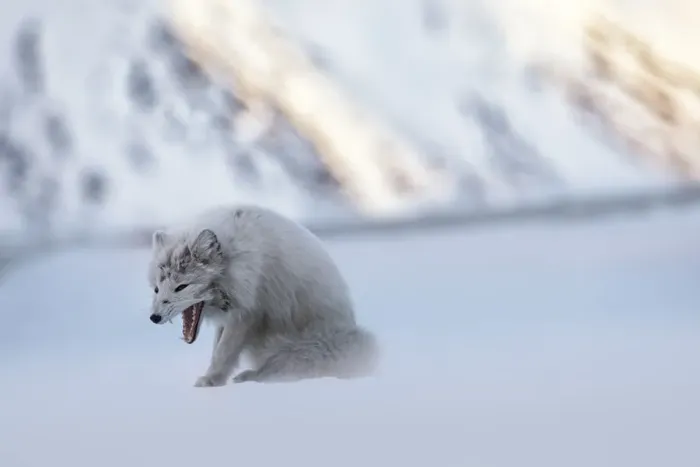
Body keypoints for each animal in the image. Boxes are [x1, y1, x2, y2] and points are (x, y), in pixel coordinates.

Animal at [147, 204, 379, 387]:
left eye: (181, 287)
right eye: (156, 289)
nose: (154, 318)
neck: (238, 259)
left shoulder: (248, 312)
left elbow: (223, 352)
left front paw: (209, 381)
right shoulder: (231, 315)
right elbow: (218, 349)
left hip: (308, 345)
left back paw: (250, 376)